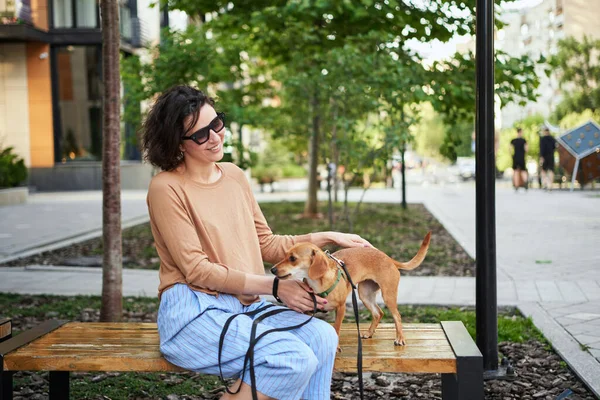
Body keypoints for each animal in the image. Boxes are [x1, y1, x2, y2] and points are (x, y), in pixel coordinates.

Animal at [272, 231, 432, 346]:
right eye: (284, 255)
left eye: (292, 258)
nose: (272, 269)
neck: (319, 284)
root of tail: (388, 258)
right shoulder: (306, 310)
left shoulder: (341, 308)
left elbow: (336, 328)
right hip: (365, 294)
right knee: (378, 313)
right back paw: (369, 333)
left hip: (388, 296)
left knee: (397, 316)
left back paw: (400, 338)